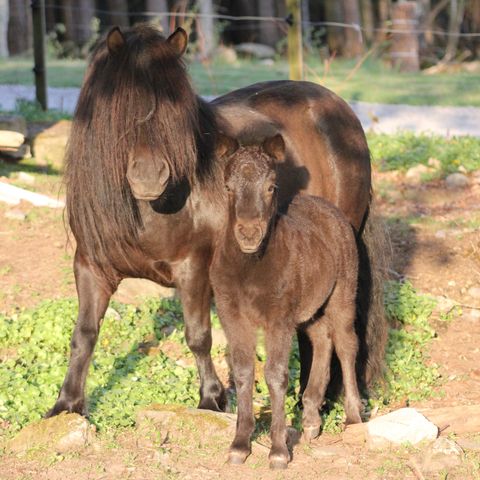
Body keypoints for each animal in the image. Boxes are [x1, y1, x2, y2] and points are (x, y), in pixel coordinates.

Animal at [47, 24, 388, 418]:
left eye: (176, 109)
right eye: (122, 105)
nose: (149, 177)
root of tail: (338, 108)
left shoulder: (193, 267)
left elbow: (198, 336)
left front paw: (211, 399)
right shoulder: (90, 266)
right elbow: (84, 334)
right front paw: (65, 405)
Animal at [212, 134, 362, 468]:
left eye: (271, 187)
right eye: (227, 187)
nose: (249, 233)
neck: (250, 267)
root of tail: (327, 208)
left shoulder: (278, 319)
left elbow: (275, 375)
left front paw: (279, 450)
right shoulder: (232, 315)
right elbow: (243, 372)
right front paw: (239, 444)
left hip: (343, 294)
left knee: (346, 344)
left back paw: (354, 418)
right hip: (311, 309)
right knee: (322, 340)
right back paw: (311, 418)